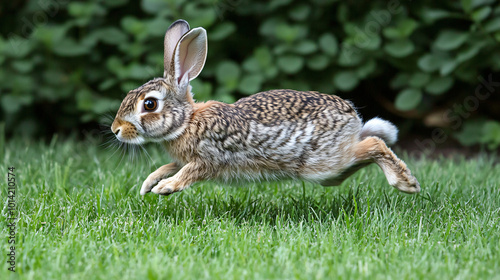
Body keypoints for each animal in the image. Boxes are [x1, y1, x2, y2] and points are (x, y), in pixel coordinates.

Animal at [111, 19, 420, 196]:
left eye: (149, 104)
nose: (116, 129)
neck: (186, 121)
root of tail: (351, 115)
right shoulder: (182, 158)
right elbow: (168, 165)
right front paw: (148, 184)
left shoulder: (210, 158)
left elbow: (189, 172)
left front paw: (165, 188)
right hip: (330, 170)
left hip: (323, 163)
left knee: (374, 144)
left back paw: (407, 184)